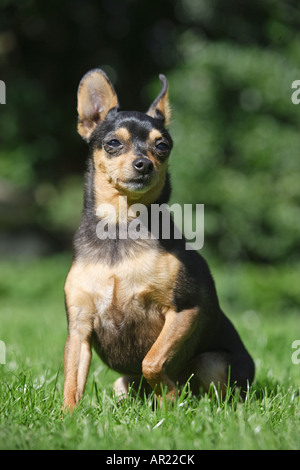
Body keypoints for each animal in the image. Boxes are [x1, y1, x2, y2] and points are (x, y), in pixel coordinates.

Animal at [62, 70, 254, 412]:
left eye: (162, 146)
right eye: (113, 143)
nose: (144, 163)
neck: (120, 227)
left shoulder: (184, 310)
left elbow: (152, 361)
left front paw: (170, 397)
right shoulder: (79, 328)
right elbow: (72, 384)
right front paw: (66, 418)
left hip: (213, 363)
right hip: (121, 384)